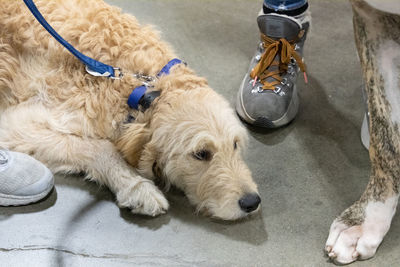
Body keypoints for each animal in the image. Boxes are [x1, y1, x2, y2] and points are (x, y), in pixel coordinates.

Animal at [0, 0, 260, 221]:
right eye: (201, 153)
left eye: (235, 144)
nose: (252, 202)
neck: (144, 90)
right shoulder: (16, 123)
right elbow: (99, 148)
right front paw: (136, 186)